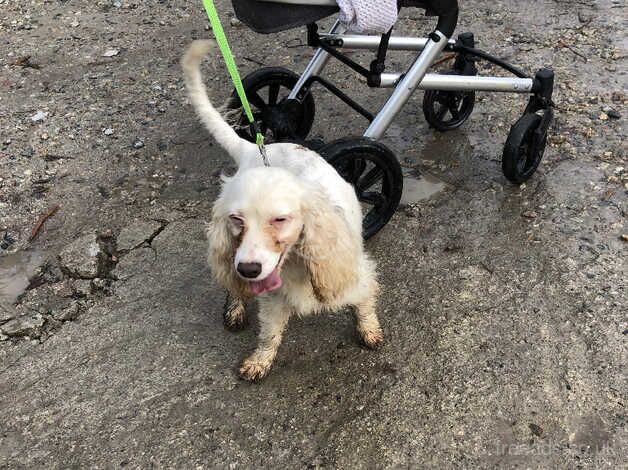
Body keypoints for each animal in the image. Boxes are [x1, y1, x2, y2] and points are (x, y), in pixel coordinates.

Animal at [179, 38, 380, 380]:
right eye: (237, 219)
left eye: (280, 219)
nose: (248, 269)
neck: (298, 264)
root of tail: (255, 148)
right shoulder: (271, 296)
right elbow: (269, 334)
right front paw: (259, 361)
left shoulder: (356, 276)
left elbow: (364, 307)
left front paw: (369, 331)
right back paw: (235, 307)